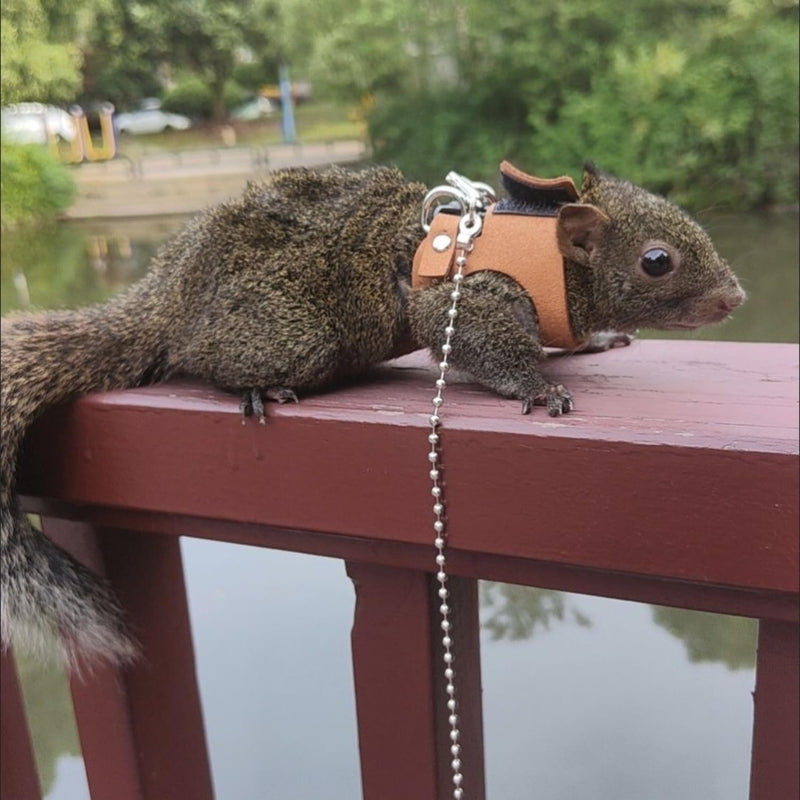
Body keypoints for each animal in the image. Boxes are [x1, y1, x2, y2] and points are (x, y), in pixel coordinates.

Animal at [0, 162, 745, 667]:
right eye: (657, 261)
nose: (735, 298)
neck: (551, 254)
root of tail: (170, 294)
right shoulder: (462, 296)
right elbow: (477, 341)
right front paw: (536, 385)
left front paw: (595, 340)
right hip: (292, 331)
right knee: (196, 355)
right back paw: (254, 387)